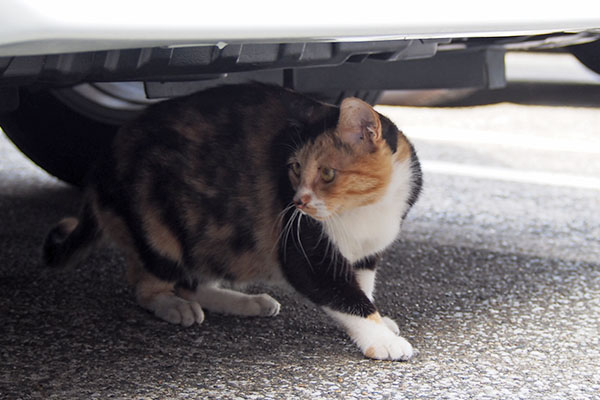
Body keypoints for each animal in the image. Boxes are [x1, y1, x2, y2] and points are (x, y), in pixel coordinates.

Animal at [43, 83, 422, 360]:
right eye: (295, 168)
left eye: (327, 173)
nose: (297, 201)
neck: (366, 210)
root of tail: (100, 165)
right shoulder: (305, 252)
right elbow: (343, 294)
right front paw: (381, 338)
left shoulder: (366, 254)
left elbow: (361, 287)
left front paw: (379, 322)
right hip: (159, 228)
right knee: (147, 285)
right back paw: (174, 306)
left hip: (214, 237)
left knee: (192, 280)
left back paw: (247, 302)